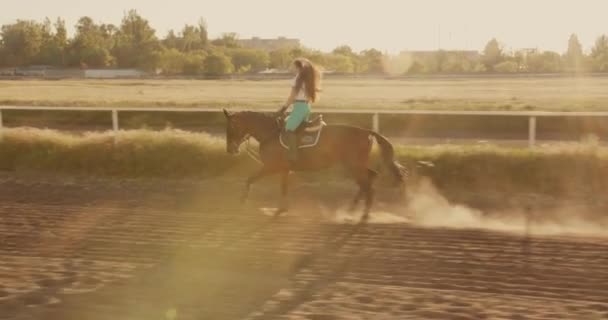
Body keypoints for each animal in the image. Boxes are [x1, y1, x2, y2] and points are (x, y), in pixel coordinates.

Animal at [221, 110, 406, 220]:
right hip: (355, 165)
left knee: (367, 186)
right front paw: (282, 209)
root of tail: (366, 132)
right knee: (369, 179)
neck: (271, 133)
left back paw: (364, 213)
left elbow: (250, 179)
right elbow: (283, 187)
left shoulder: (271, 167)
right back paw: (352, 209)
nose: (230, 149)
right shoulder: (284, 170)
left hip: (353, 166)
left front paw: (243, 201)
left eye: (230, 128)